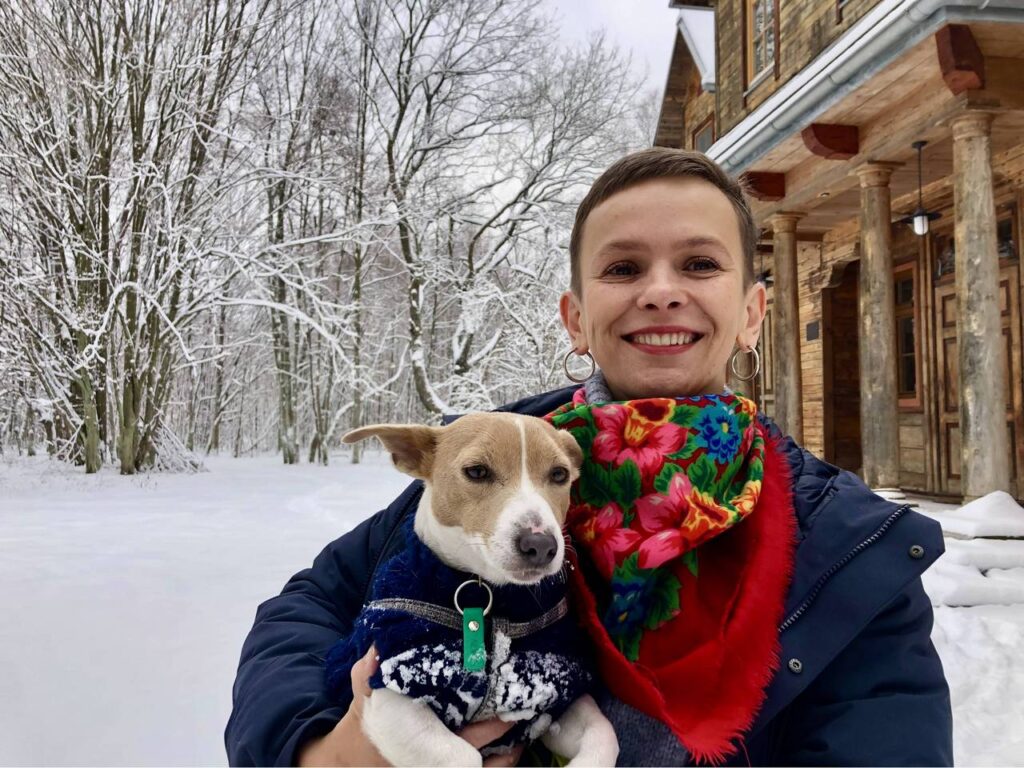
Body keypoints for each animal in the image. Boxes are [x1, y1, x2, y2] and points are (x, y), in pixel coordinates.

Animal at [325, 412, 619, 767]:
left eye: (559, 474)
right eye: (477, 471)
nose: (540, 545)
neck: (493, 599)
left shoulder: (553, 696)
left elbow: (603, 734)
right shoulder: (388, 694)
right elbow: (462, 757)